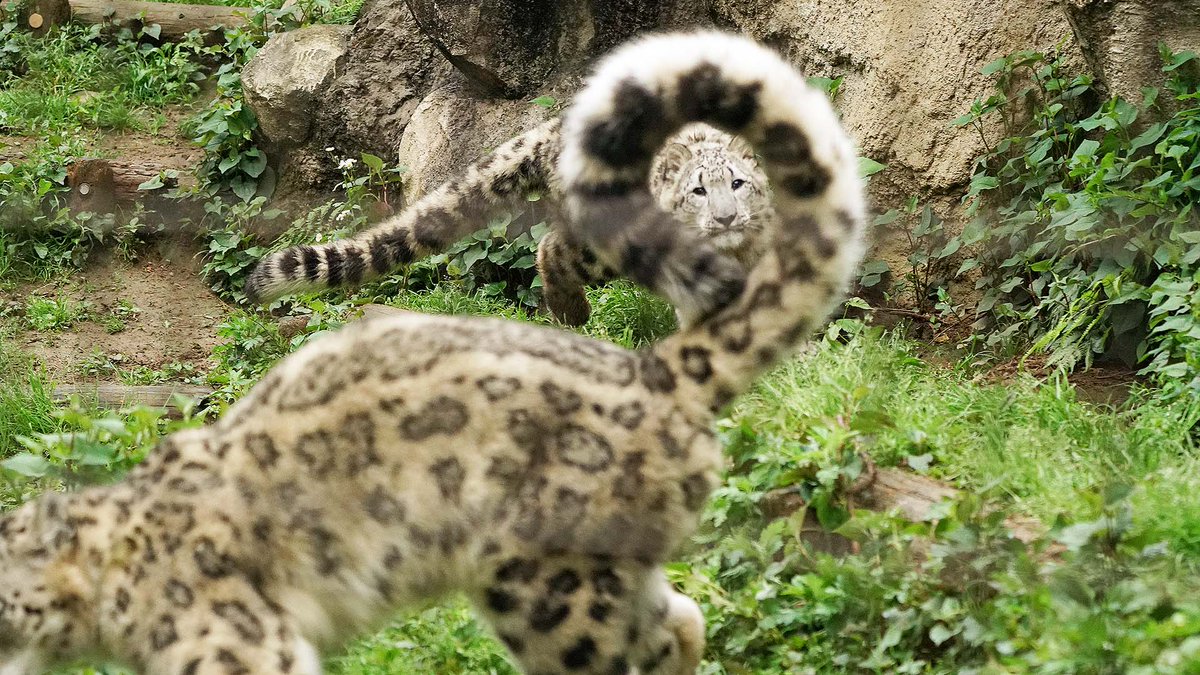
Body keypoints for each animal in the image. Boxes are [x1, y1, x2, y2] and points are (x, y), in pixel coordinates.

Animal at [0, 28, 864, 667]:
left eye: (739, 185)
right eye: (698, 189)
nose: (724, 218)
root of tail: (550, 126)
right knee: (553, 248)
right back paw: (571, 309)